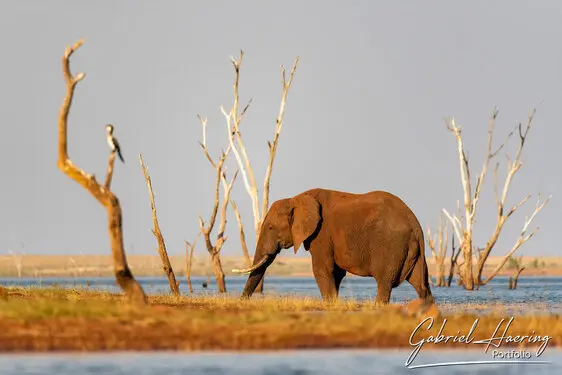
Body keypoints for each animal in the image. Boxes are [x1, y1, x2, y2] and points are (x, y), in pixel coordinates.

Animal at [232, 188, 434, 308]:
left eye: (270, 228)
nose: (241, 301)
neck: (296, 199)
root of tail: (415, 224)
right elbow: (335, 273)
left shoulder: (321, 234)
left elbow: (322, 269)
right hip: (412, 250)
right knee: (420, 283)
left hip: (391, 246)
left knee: (384, 283)